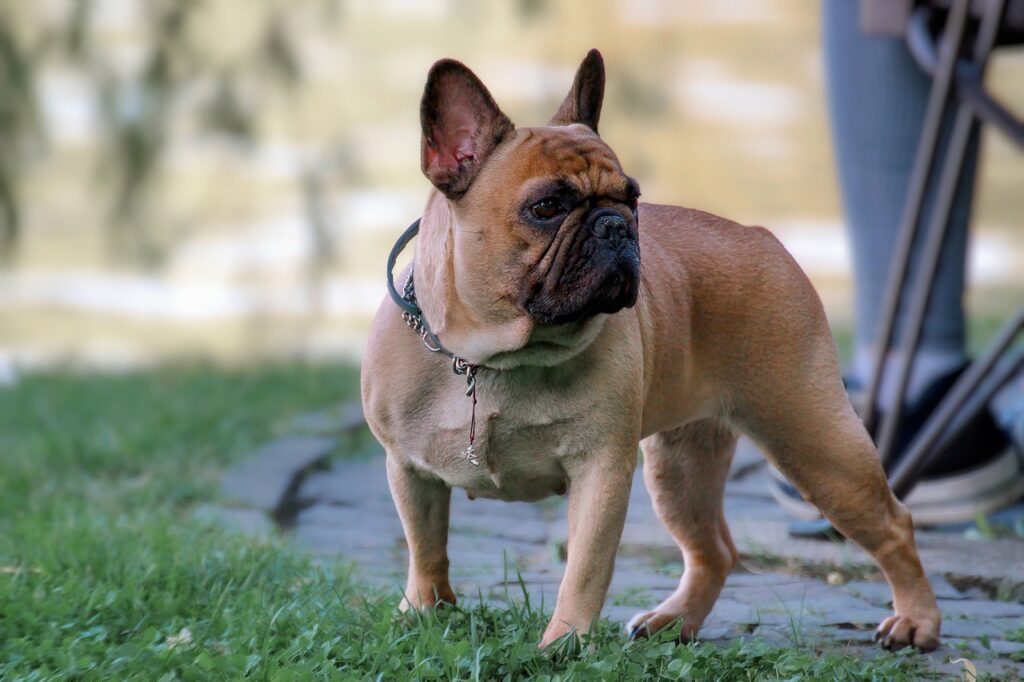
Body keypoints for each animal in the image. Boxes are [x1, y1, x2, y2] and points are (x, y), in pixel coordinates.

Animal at [362, 47, 942, 647]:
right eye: (546, 206)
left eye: (633, 199)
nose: (616, 225)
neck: (490, 357)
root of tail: (761, 237)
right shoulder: (408, 469)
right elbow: (425, 546)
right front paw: (424, 611)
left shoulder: (601, 471)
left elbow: (585, 568)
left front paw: (562, 644)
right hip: (681, 466)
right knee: (715, 550)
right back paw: (674, 621)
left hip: (813, 440)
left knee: (893, 525)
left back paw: (916, 621)